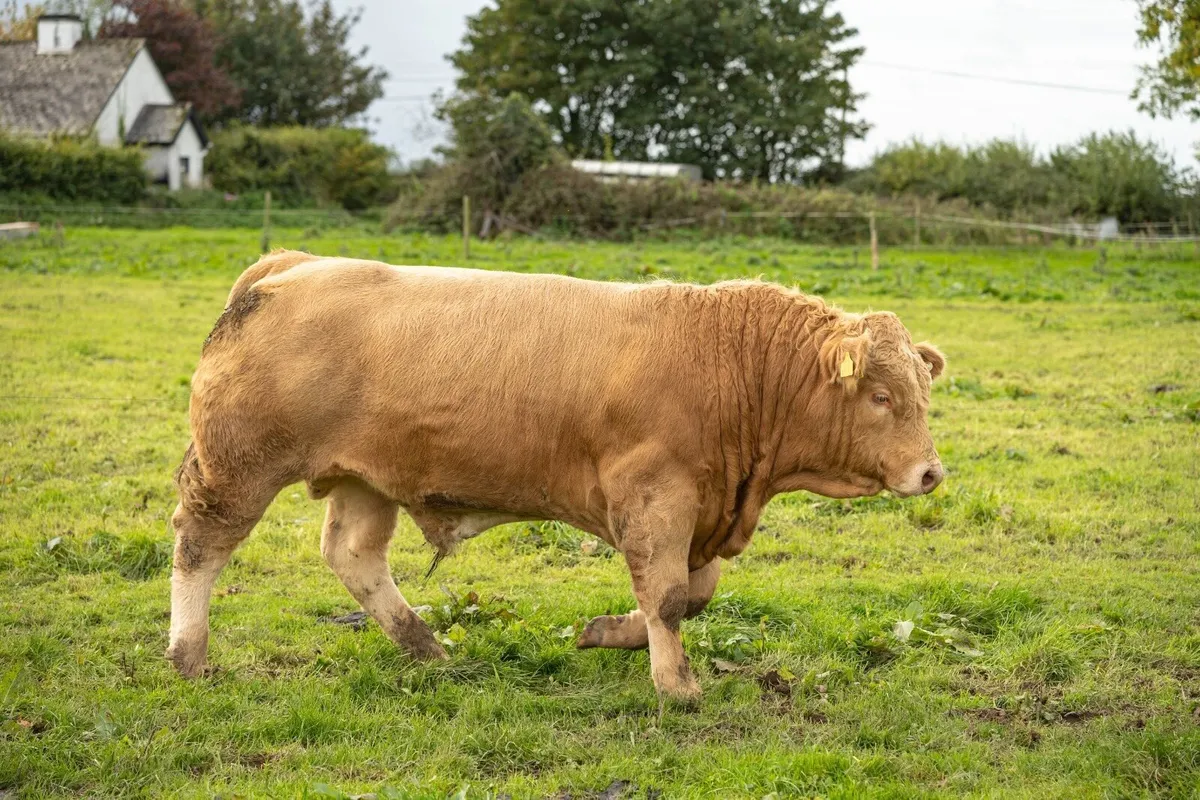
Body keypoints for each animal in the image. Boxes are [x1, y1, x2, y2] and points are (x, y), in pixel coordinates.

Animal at [167, 250, 946, 703]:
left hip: (367, 478)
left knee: (354, 556)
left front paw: (604, 633)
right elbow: (668, 598)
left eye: (921, 391)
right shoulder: (655, 496)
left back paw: (426, 647)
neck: (737, 364)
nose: (931, 471)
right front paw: (677, 684)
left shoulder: (704, 511)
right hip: (237, 467)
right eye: (881, 396)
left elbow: (690, 599)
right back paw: (188, 655)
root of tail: (288, 265)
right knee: (199, 547)